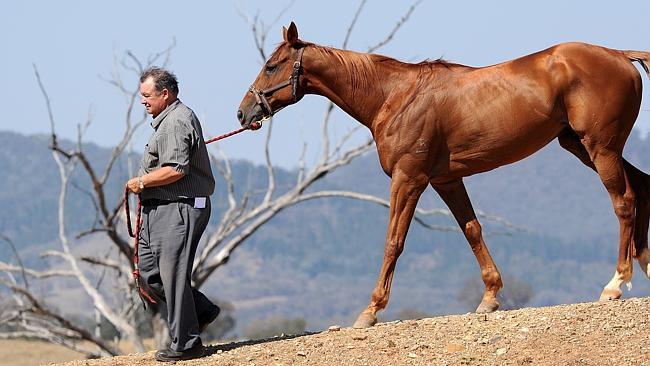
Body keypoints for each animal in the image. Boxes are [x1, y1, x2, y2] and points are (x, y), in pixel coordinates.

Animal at [237, 21, 648, 328]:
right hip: (581, 146)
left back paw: (615, 284)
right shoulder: (445, 179)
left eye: (272, 65)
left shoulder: (408, 179)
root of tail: (618, 54)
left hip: (600, 148)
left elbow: (394, 241)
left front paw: (371, 310)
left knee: (624, 202)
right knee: (642, 187)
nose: (243, 113)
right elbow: (472, 230)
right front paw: (490, 297)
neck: (393, 96)